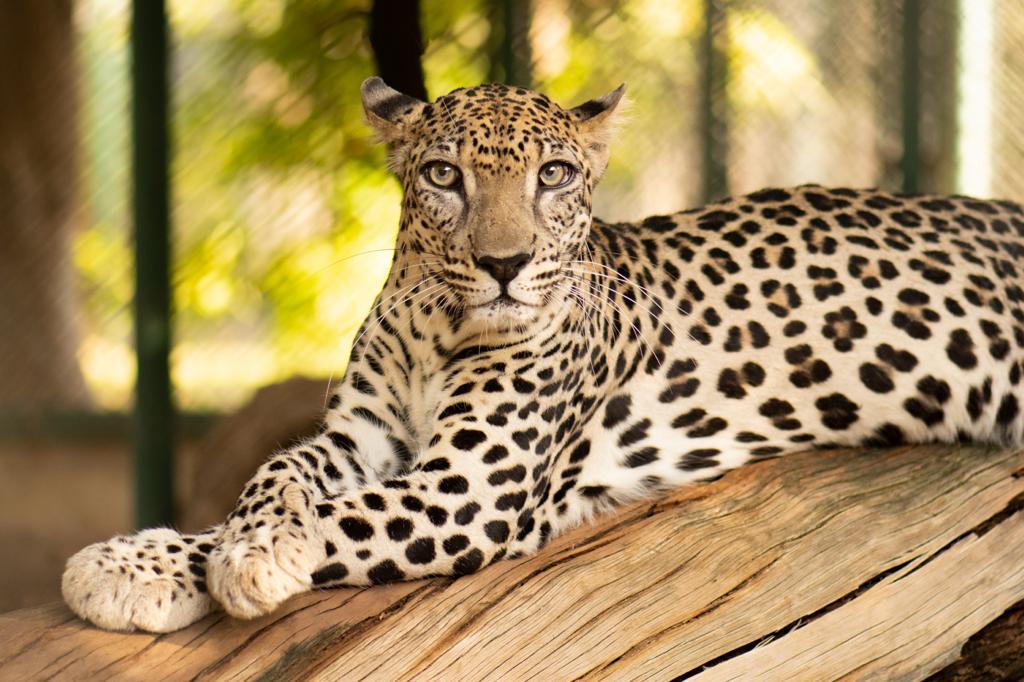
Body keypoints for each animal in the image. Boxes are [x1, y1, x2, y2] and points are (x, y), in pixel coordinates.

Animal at [61, 75, 1024, 630]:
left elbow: (336, 517)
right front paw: (204, 549)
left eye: (553, 176)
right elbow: (276, 473)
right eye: (444, 176)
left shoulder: (463, 492)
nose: (504, 263)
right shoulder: (359, 437)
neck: (434, 330)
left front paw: (171, 563)